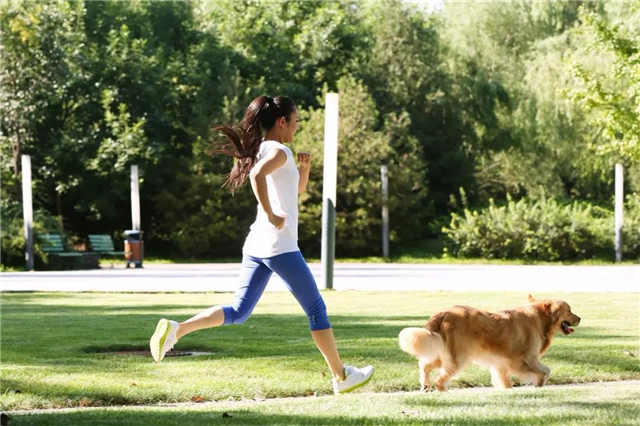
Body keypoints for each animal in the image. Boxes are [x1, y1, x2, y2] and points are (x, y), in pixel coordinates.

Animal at [400, 296, 580, 392]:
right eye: (569, 310)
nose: (580, 318)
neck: (540, 318)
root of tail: (445, 313)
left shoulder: (501, 363)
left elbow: (506, 381)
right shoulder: (525, 359)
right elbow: (545, 370)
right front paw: (539, 383)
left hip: (444, 353)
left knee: (425, 365)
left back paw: (425, 385)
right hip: (458, 357)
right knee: (440, 378)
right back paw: (443, 390)